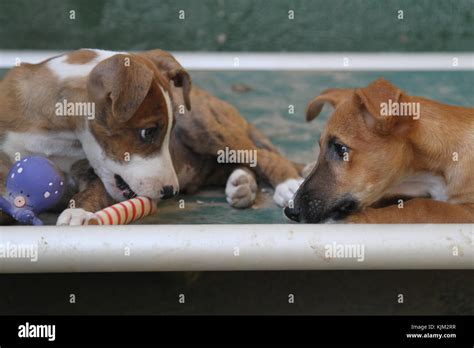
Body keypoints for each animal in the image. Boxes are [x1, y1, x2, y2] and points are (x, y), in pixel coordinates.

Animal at [0, 48, 302, 226]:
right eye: (148, 132)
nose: (171, 192)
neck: (55, 128)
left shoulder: (93, 172)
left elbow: (93, 192)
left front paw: (80, 213)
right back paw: (242, 185)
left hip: (203, 129)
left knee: (263, 155)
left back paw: (288, 185)